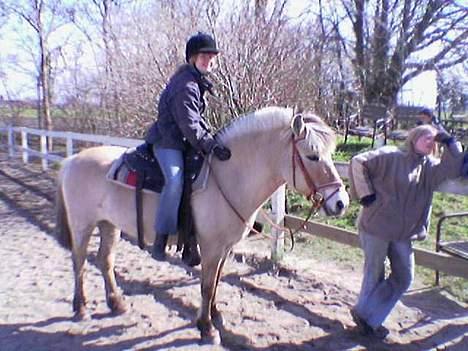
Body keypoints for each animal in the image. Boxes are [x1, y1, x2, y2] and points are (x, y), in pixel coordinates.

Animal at [55, 106, 348, 344]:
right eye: (312, 156)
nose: (340, 203)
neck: (229, 178)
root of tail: (71, 160)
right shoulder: (210, 247)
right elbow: (206, 285)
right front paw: (207, 328)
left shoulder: (225, 248)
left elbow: (216, 282)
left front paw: (215, 316)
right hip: (83, 225)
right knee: (79, 261)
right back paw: (80, 307)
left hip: (108, 224)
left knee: (105, 260)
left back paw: (116, 304)